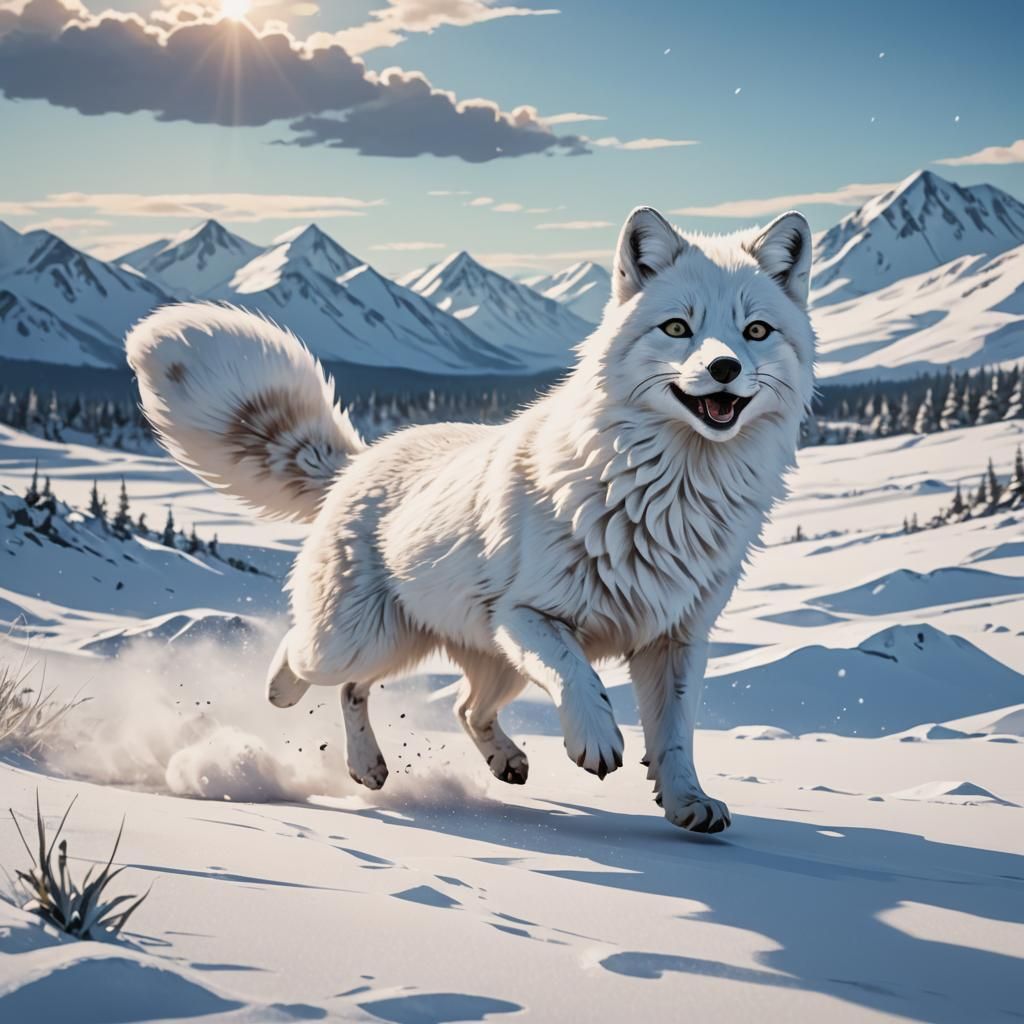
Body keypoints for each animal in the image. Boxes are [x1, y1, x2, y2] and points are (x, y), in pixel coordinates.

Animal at [126, 206, 815, 833]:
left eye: (756, 331)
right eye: (677, 327)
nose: (724, 368)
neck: (668, 493)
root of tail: (356, 461)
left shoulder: (676, 641)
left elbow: (675, 738)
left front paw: (688, 804)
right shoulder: (529, 615)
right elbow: (580, 676)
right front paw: (595, 740)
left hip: (486, 662)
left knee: (450, 706)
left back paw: (448, 763)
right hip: (364, 641)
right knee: (308, 657)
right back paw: (292, 703)